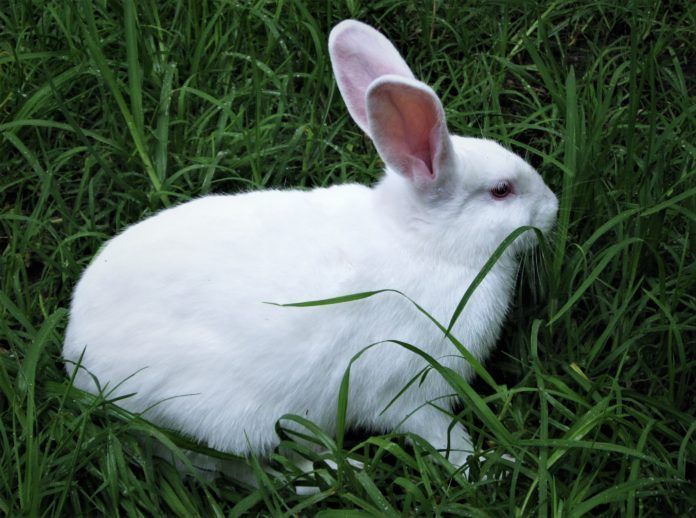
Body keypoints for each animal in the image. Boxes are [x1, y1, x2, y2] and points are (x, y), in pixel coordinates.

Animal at [63, 19, 558, 476]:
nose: (552, 207)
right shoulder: (410, 393)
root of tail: (78, 364)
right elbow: (442, 437)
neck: (423, 245)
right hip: (228, 422)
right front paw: (489, 468)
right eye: (501, 191)